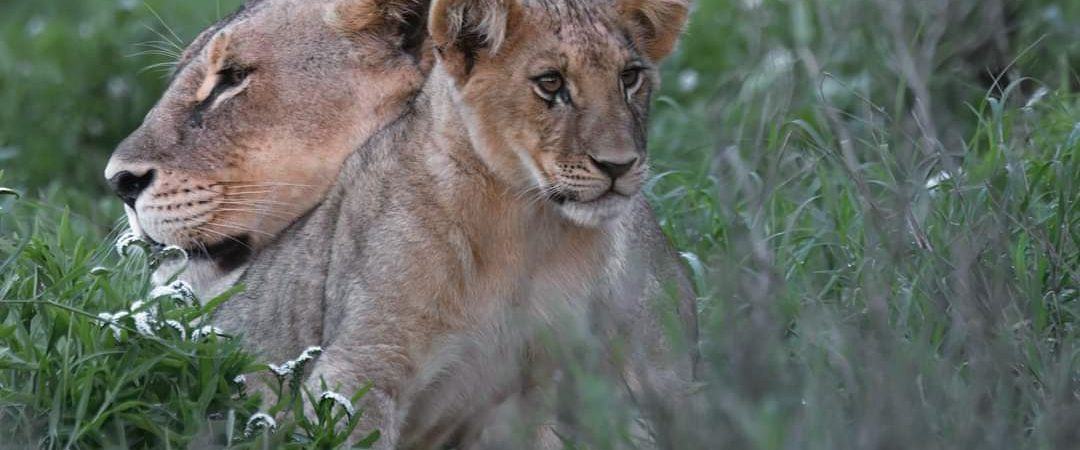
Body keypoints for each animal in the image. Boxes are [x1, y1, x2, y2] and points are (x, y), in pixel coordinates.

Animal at [216, 0, 699, 448]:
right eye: (551, 82)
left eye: (629, 77)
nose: (619, 165)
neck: (527, 232)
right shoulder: (362, 366)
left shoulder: (542, 389)